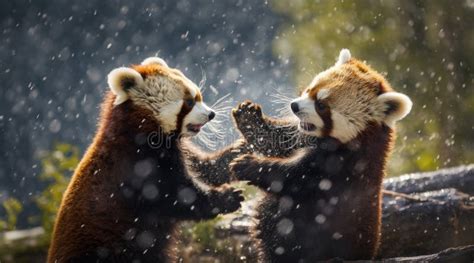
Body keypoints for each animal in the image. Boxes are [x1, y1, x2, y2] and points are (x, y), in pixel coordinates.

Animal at [48, 57, 244, 263]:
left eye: (200, 97)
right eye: (189, 102)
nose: (211, 114)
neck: (139, 131)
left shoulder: (177, 150)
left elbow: (206, 169)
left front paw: (238, 150)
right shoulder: (136, 167)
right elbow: (178, 198)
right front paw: (226, 197)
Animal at [230, 49, 412, 262]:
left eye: (321, 105)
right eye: (310, 90)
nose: (294, 106)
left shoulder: (343, 166)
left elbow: (292, 178)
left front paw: (248, 165)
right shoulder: (305, 137)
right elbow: (281, 141)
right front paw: (249, 119)